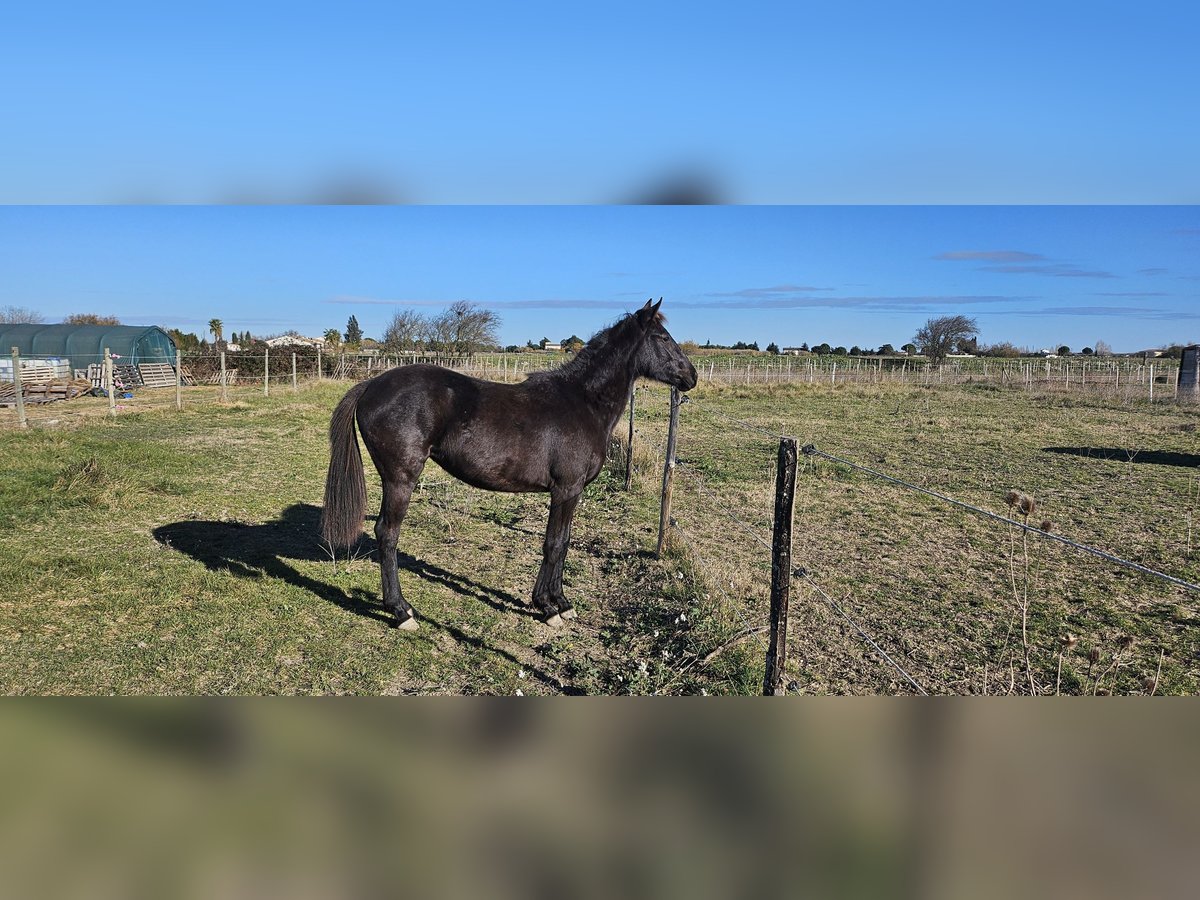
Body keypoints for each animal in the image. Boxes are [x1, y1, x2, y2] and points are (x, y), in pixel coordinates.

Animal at [321, 300, 696, 628]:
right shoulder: (566, 490)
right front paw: (549, 608)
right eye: (662, 337)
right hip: (400, 479)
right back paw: (401, 612)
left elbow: (564, 542)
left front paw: (559, 602)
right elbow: (554, 544)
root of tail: (371, 384)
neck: (583, 402)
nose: (690, 376)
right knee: (387, 534)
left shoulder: (570, 493)